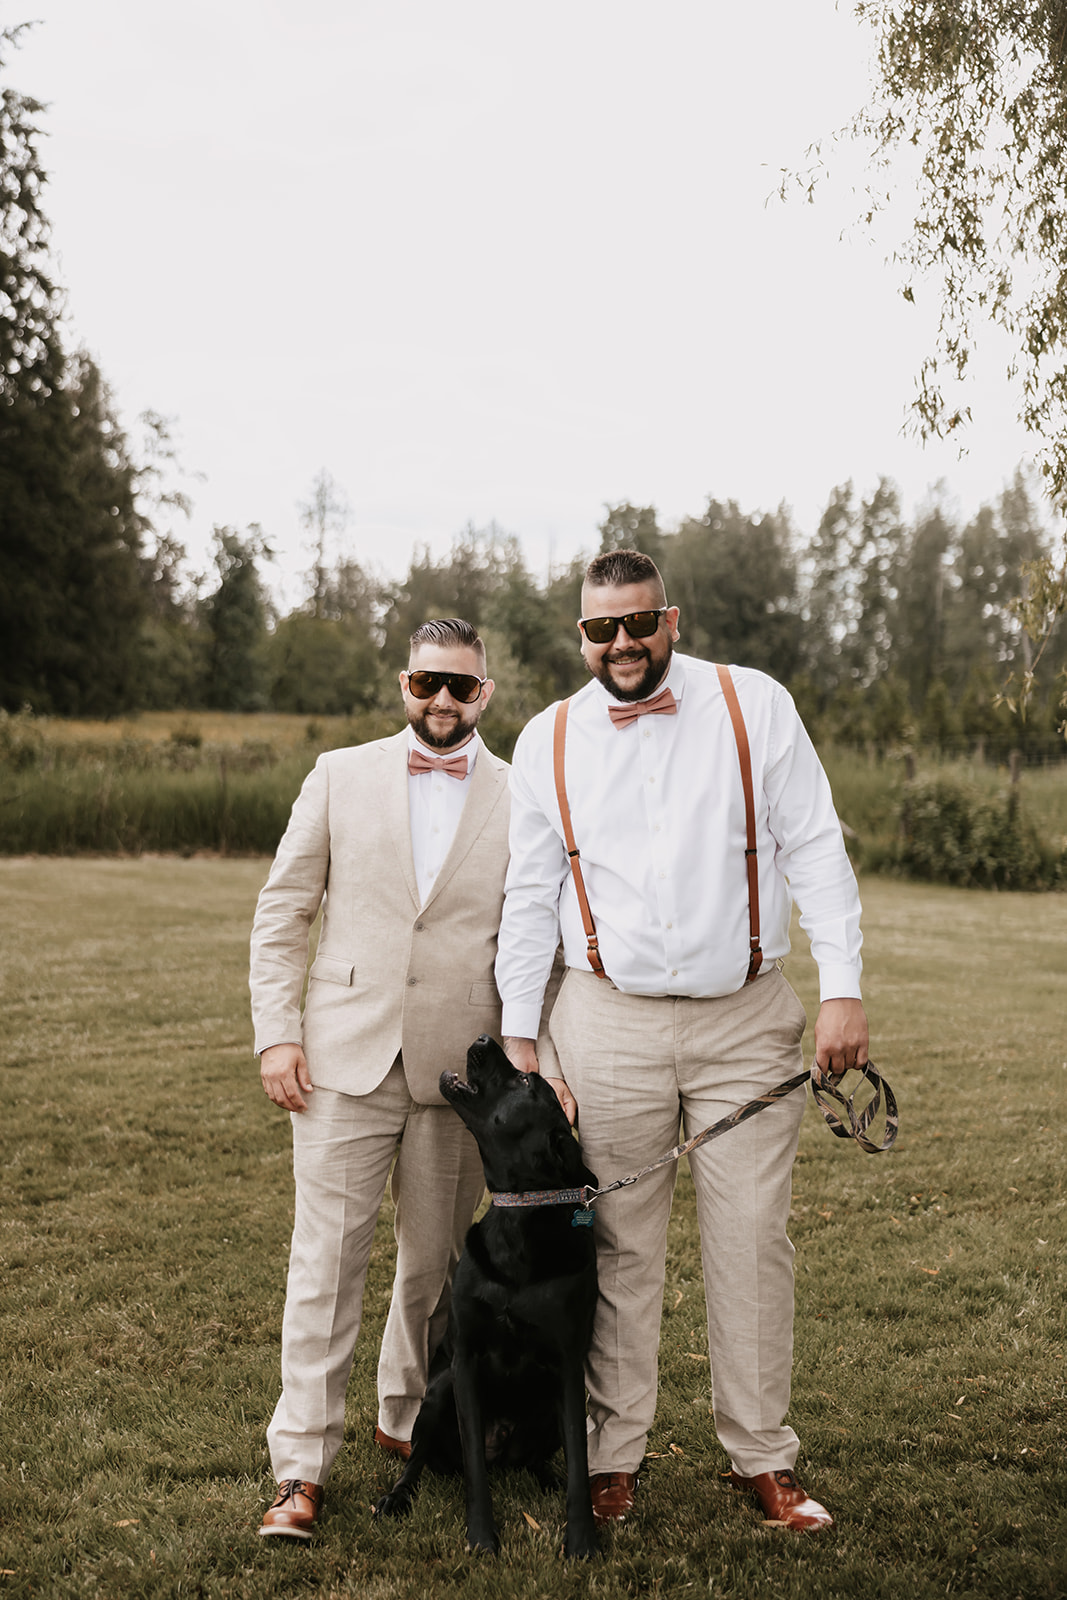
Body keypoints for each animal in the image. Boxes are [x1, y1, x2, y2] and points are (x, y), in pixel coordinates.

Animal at [374, 1030, 601, 1555]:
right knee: (418, 1459)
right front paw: (481, 1537)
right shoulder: (466, 1362)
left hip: (546, 1409)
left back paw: (546, 1479)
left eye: (526, 1081)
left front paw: (582, 1540)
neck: (520, 1219)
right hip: (438, 1394)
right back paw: (397, 1497)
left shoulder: (568, 1365)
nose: (482, 1037)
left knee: (539, 1459)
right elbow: (475, 1470)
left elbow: (580, 1464)